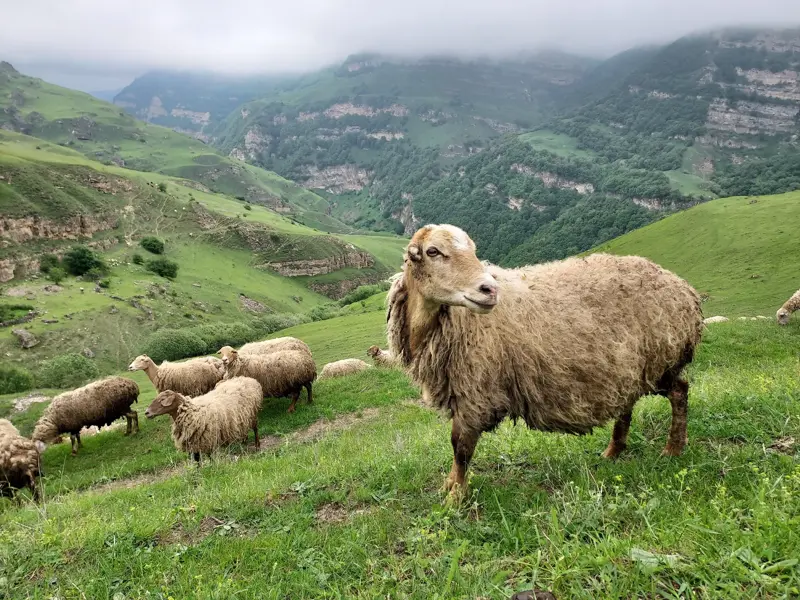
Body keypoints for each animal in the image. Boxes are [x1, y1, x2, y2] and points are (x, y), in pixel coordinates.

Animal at [387, 224, 703, 498]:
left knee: (680, 391)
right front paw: (450, 487)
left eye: (474, 250)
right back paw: (614, 451)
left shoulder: (476, 392)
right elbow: (458, 448)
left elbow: (460, 448)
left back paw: (673, 449)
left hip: (660, 360)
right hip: (631, 368)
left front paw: (456, 496)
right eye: (433, 251)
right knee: (628, 404)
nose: (489, 290)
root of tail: (684, 289)